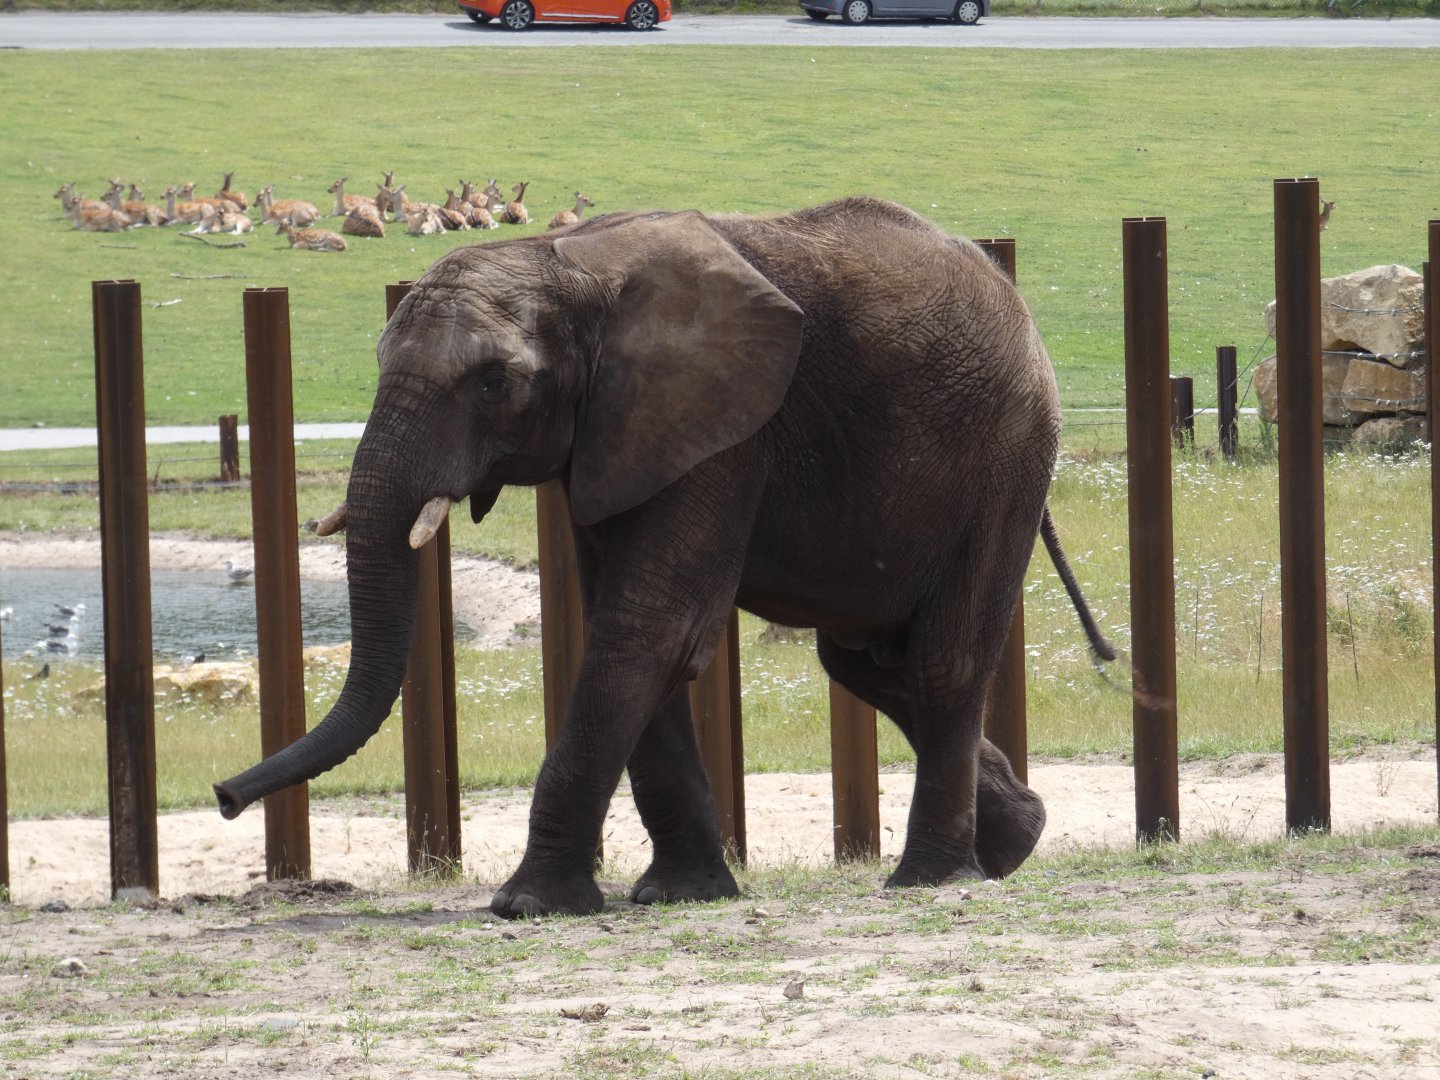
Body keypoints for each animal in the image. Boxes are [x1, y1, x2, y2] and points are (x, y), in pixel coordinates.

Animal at [215, 196, 1114, 918]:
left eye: (495, 382)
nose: (225, 795)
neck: (568, 261)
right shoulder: (619, 434)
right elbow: (636, 633)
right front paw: (683, 895)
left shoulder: (726, 423)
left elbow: (648, 629)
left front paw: (525, 906)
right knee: (865, 663)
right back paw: (1016, 841)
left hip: (1005, 456)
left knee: (939, 662)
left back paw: (932, 879)